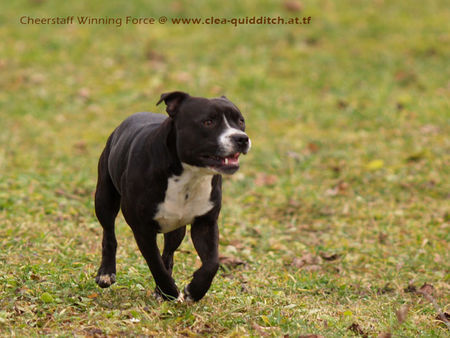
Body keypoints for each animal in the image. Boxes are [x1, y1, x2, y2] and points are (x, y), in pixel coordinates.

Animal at [93, 90, 251, 302]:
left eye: (240, 121)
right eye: (208, 122)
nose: (241, 138)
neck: (189, 174)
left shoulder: (206, 223)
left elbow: (212, 263)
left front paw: (194, 290)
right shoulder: (142, 229)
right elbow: (155, 263)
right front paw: (170, 290)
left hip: (176, 228)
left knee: (168, 253)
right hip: (104, 199)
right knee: (109, 233)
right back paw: (106, 273)